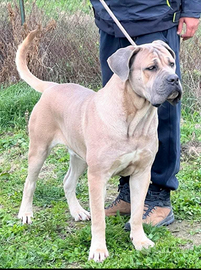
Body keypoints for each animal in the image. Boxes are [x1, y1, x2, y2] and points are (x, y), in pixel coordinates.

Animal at [16, 28, 182, 262]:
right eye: (151, 67)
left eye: (172, 63)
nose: (174, 79)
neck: (135, 119)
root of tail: (52, 87)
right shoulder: (97, 176)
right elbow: (99, 219)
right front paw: (98, 250)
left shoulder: (142, 173)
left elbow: (137, 213)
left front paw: (140, 241)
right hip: (39, 150)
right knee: (29, 183)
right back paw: (26, 214)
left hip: (79, 158)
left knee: (68, 181)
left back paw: (77, 211)